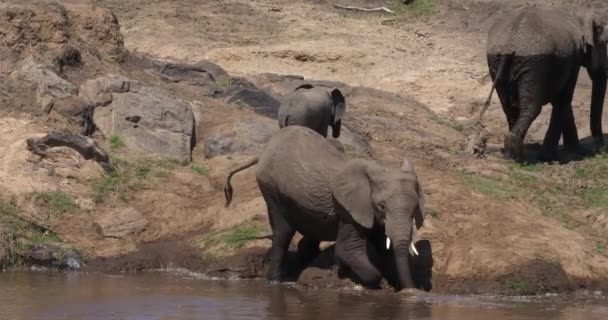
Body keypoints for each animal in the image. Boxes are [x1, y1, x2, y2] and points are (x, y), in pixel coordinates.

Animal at [222, 126, 422, 292]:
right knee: (282, 233)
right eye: (381, 206)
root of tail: (265, 148)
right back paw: (275, 282)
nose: (412, 290)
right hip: (271, 187)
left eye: (414, 209)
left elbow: (384, 247)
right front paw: (360, 278)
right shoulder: (348, 210)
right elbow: (348, 250)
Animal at [486, 6, 608, 162]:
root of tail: (509, 44)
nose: (599, 149)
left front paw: (574, 152)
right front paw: (550, 157)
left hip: (497, 63)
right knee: (531, 107)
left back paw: (511, 155)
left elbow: (561, 100)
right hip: (533, 64)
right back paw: (518, 156)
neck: (579, 15)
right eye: (604, 44)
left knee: (509, 106)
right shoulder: (573, 57)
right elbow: (563, 99)